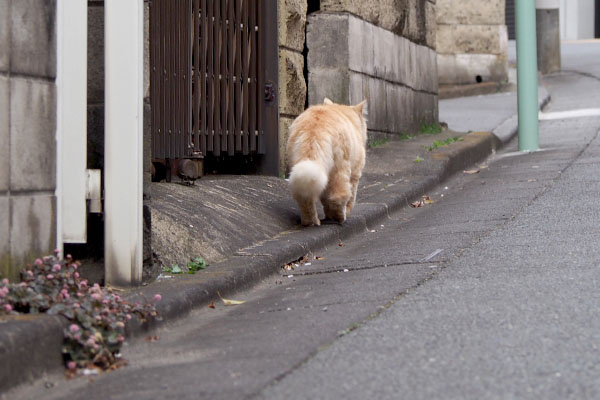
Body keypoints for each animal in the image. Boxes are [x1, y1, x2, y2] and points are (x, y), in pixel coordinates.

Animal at [288, 97, 368, 225]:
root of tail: (314, 129)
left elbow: (325, 199)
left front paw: (328, 215)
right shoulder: (356, 173)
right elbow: (352, 197)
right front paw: (343, 212)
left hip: (303, 168)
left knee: (304, 196)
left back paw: (311, 221)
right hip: (341, 167)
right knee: (340, 194)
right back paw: (340, 217)